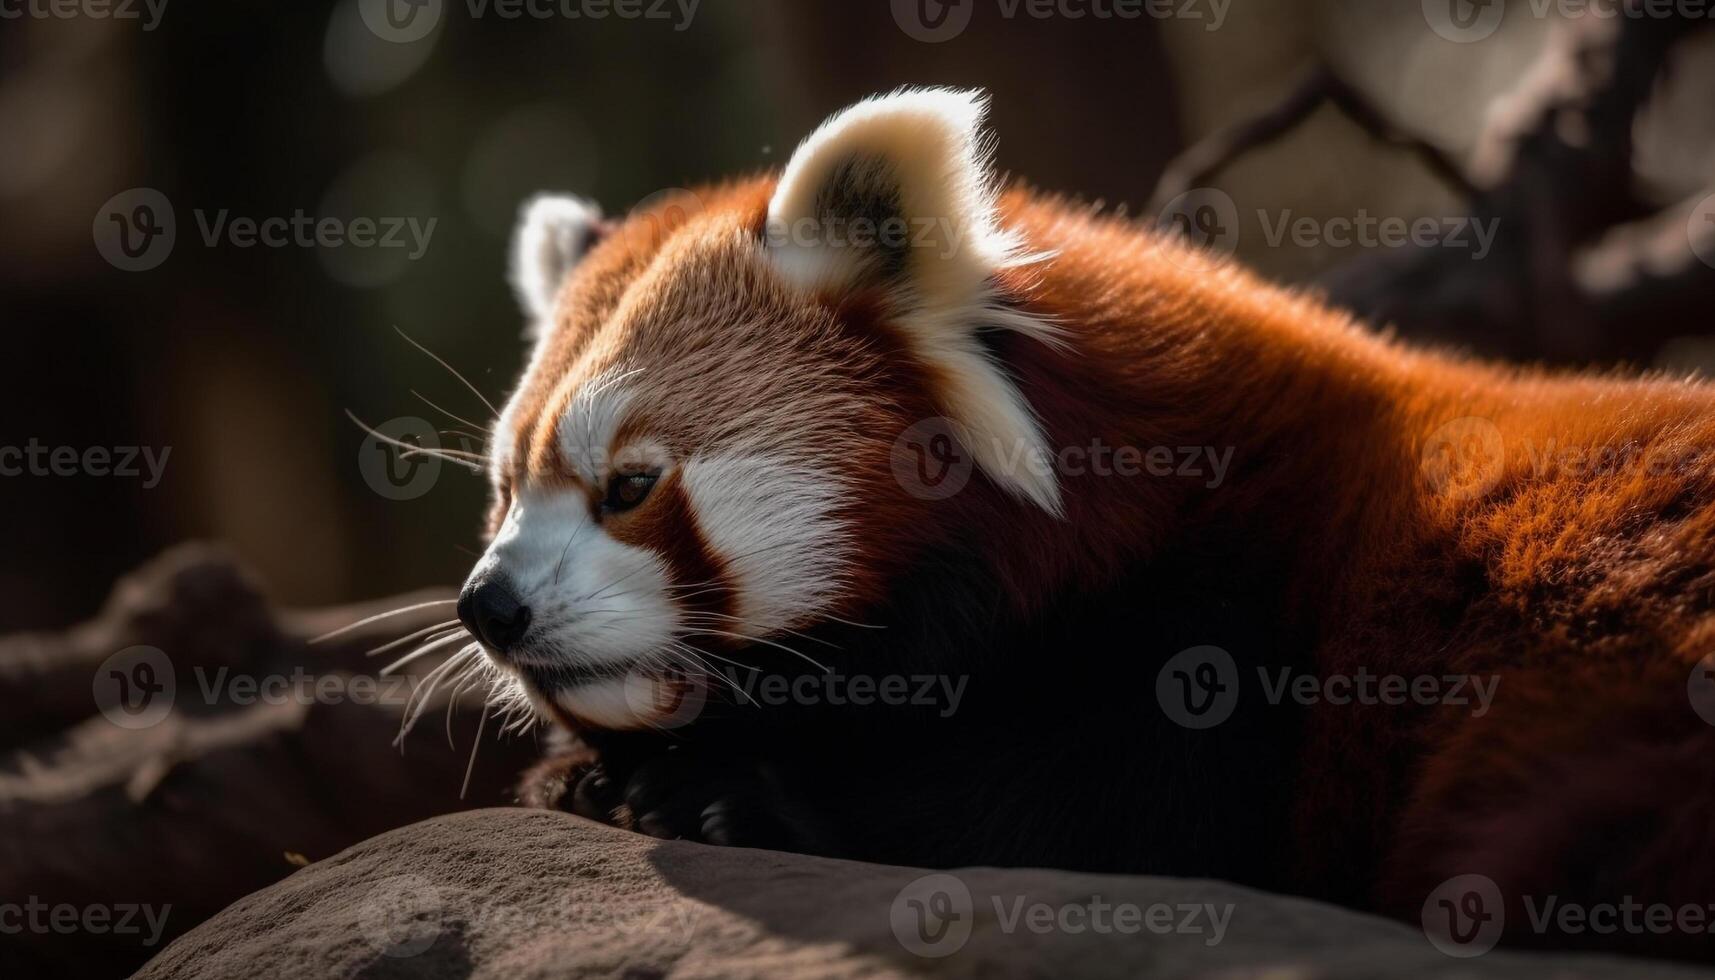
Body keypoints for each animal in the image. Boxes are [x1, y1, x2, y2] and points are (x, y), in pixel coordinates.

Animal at [449, 88, 1715, 961]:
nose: (486, 604)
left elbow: (1088, 816)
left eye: (628, 484)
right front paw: (589, 774)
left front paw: (725, 795)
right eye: (505, 488)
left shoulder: (1217, 637)